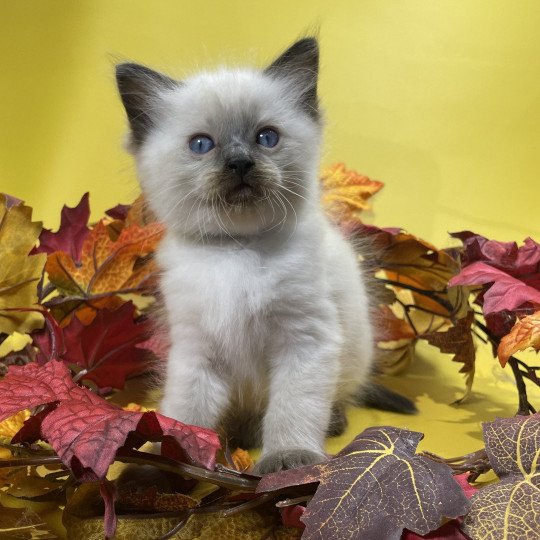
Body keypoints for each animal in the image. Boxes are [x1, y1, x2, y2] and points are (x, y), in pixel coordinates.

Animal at [116, 38, 414, 474]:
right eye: (202, 144)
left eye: (267, 137)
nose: (240, 162)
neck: (235, 251)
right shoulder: (195, 351)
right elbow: (182, 416)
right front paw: (159, 462)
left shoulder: (304, 339)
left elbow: (292, 408)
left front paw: (288, 461)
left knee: (336, 398)